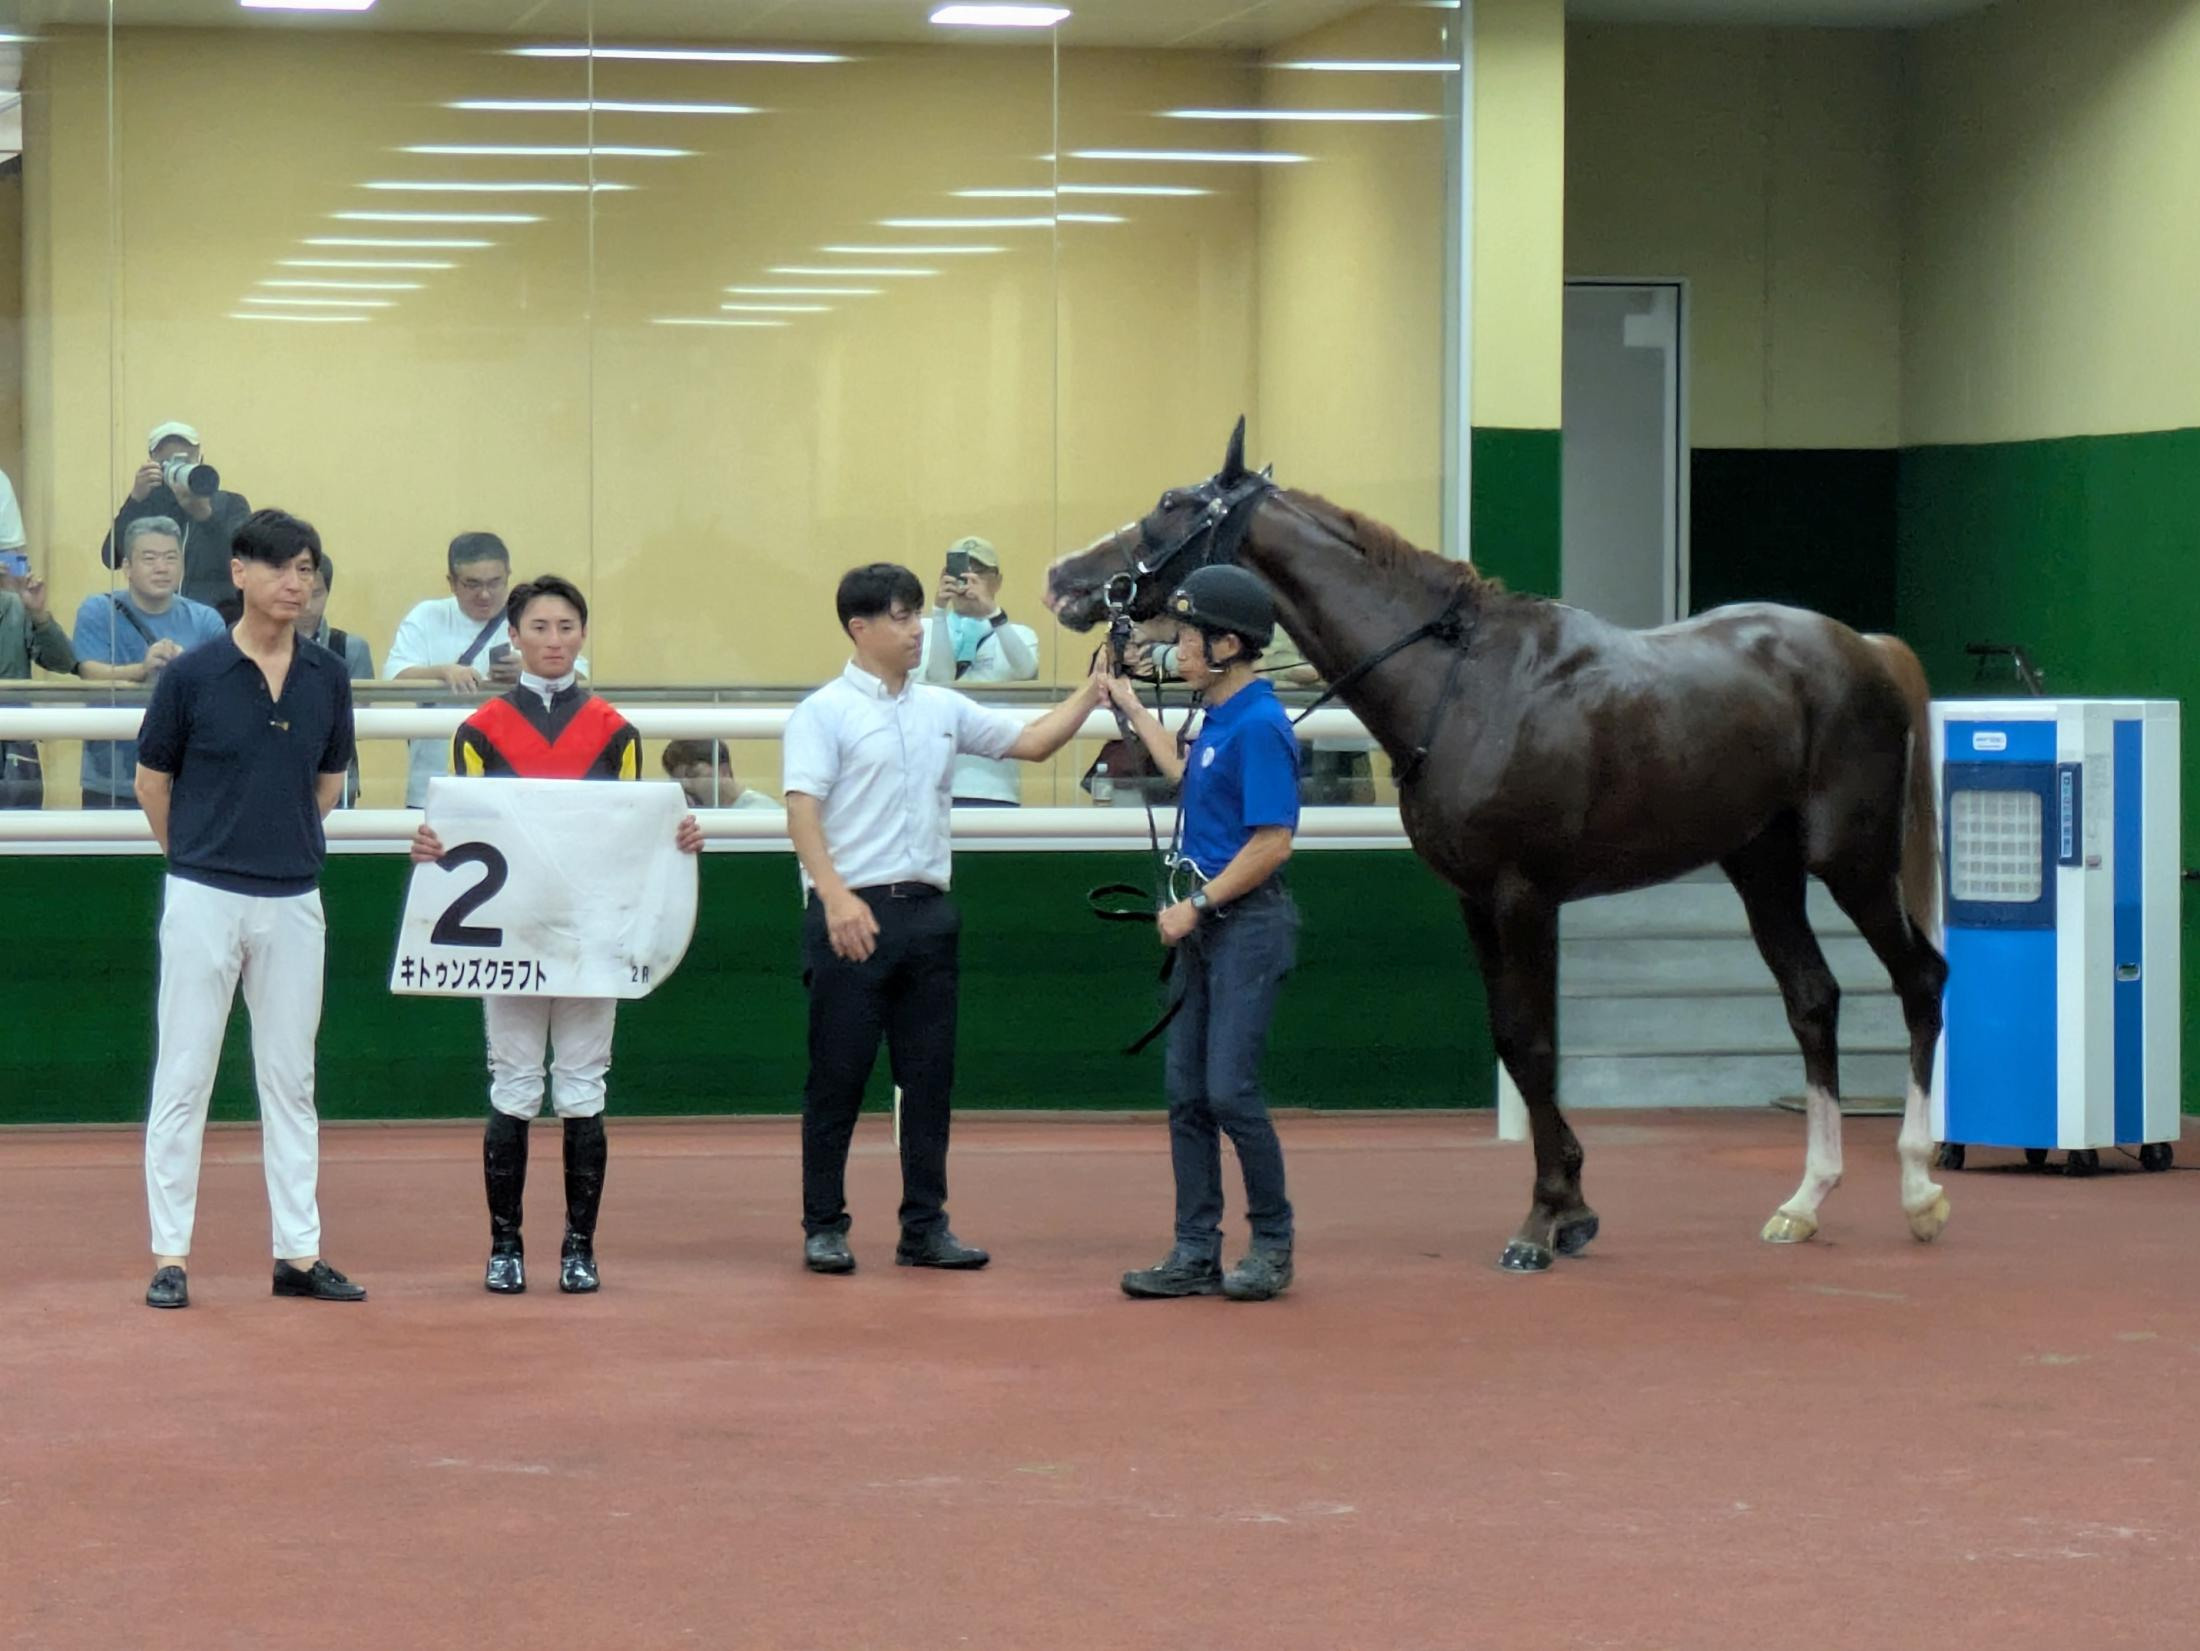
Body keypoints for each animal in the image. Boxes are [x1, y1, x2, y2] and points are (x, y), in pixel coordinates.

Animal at [1044, 418, 1951, 1272]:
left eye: (1172, 502)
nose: (1065, 579)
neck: (1469, 684)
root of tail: (1866, 648)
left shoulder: (1525, 895)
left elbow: (1538, 1042)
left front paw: (1544, 1222)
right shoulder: (1475, 900)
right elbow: (1513, 1041)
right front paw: (1572, 1204)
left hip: (1852, 862)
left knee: (1921, 978)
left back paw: (1919, 1186)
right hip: (1762, 866)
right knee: (1813, 999)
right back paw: (1806, 1199)